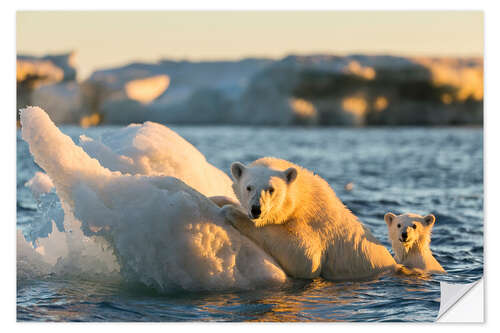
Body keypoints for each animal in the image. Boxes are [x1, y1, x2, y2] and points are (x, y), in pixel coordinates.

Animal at [223, 157, 398, 278]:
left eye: (271, 189)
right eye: (249, 187)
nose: (256, 210)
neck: (304, 197)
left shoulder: (315, 225)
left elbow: (306, 258)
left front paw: (232, 211)